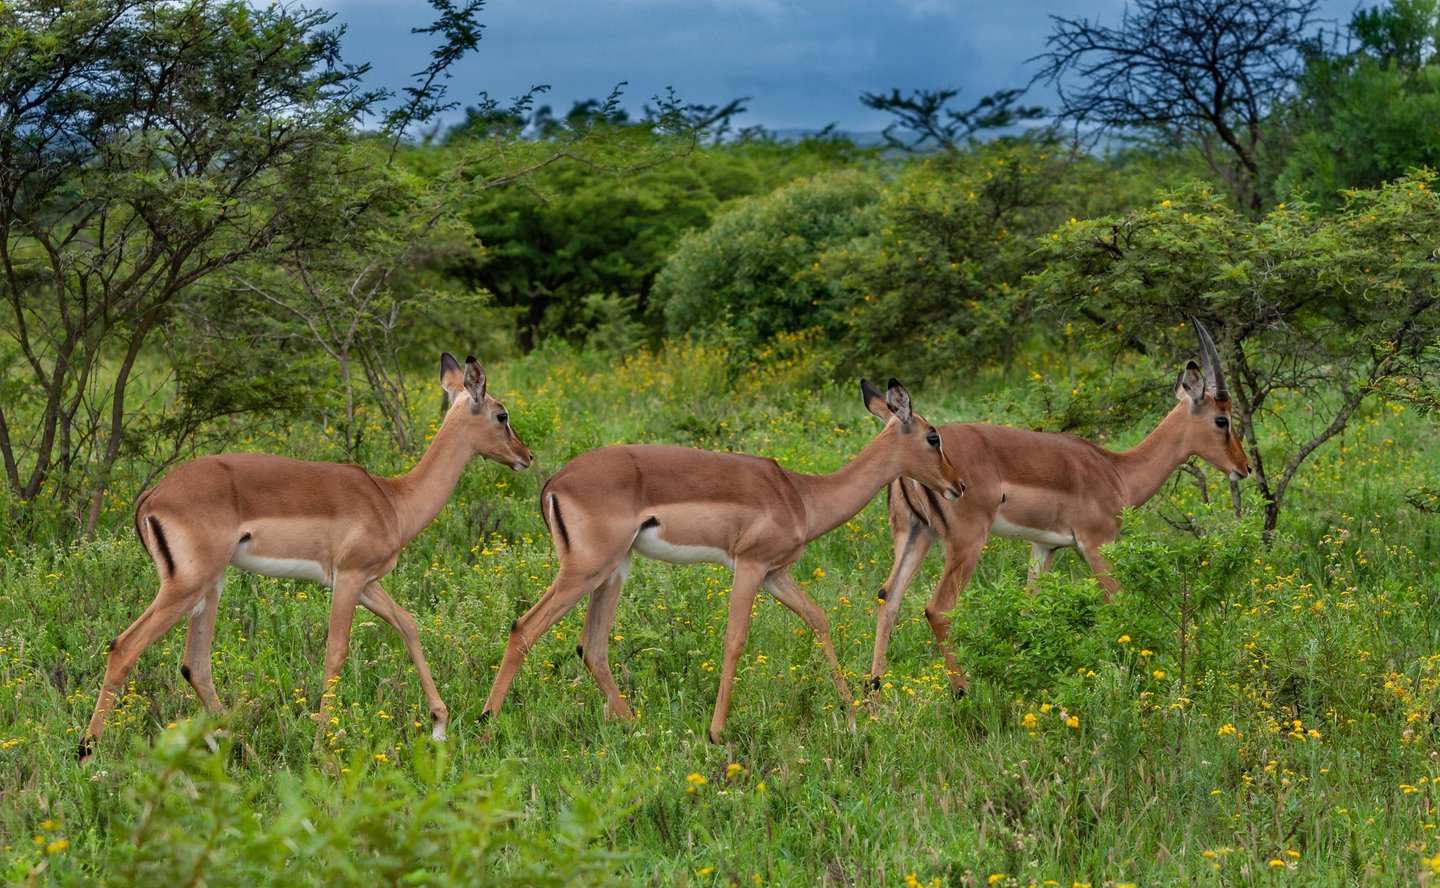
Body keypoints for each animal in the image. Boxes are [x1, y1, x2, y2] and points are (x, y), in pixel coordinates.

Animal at [78, 354, 531, 763]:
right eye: (502, 415)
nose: (525, 456)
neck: (393, 499)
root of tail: (151, 498)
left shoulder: (367, 583)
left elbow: (408, 625)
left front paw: (438, 725)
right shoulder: (349, 577)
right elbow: (337, 651)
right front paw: (323, 748)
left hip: (209, 586)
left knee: (195, 665)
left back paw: (243, 749)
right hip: (188, 586)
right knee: (124, 648)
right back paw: (87, 754)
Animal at [480, 379, 964, 743]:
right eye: (933, 436)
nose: (958, 485)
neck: (802, 495)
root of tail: (553, 483)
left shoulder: (774, 573)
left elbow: (818, 619)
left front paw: (851, 715)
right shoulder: (749, 566)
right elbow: (735, 639)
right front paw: (715, 732)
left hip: (613, 571)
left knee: (592, 646)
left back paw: (638, 727)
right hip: (586, 570)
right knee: (524, 629)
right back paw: (485, 729)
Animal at [866, 320, 1251, 696]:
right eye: (1222, 419)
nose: (1244, 467)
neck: (1118, 471)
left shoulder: (1044, 546)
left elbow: (1029, 610)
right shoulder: (1096, 544)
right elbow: (1121, 608)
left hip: (916, 534)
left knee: (888, 597)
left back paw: (874, 691)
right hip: (966, 542)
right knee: (938, 609)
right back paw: (962, 692)